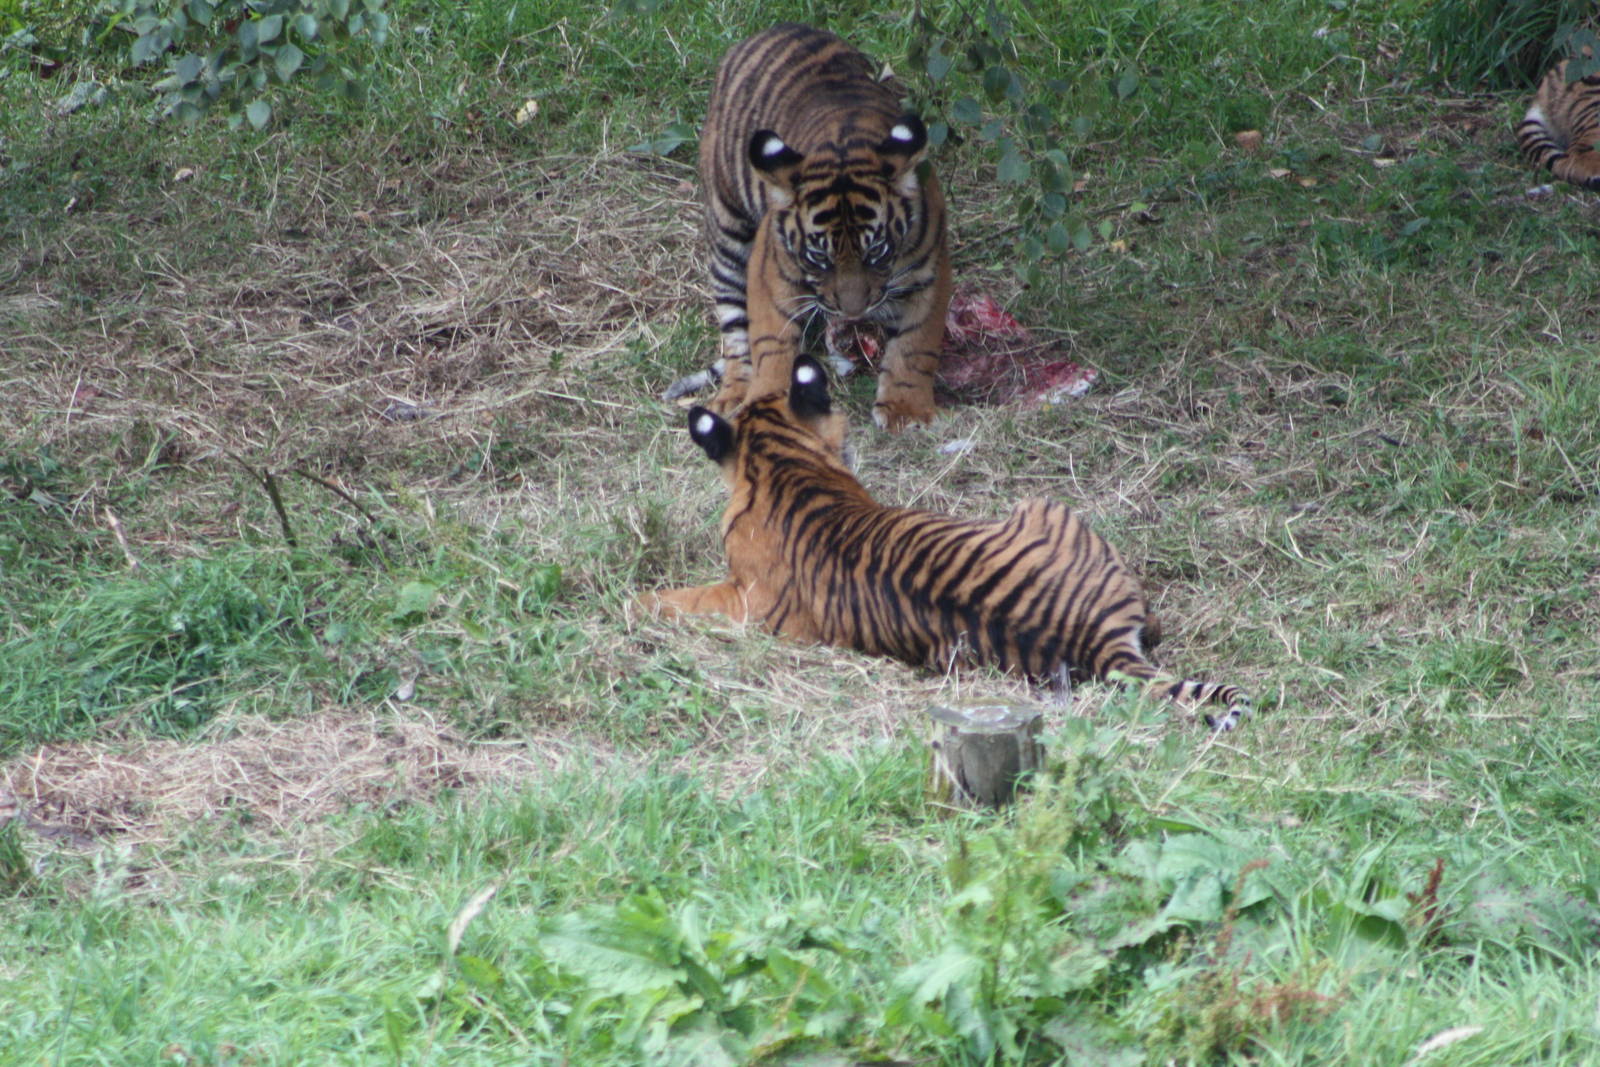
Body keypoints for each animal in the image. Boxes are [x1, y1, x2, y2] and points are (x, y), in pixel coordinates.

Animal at [685, 22, 952, 432]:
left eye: (876, 253)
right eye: (819, 258)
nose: (855, 312)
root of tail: (775, 28)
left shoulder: (929, 275)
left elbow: (914, 345)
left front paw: (905, 409)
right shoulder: (772, 274)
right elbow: (772, 344)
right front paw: (769, 401)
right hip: (728, 229)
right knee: (735, 329)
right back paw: (733, 393)